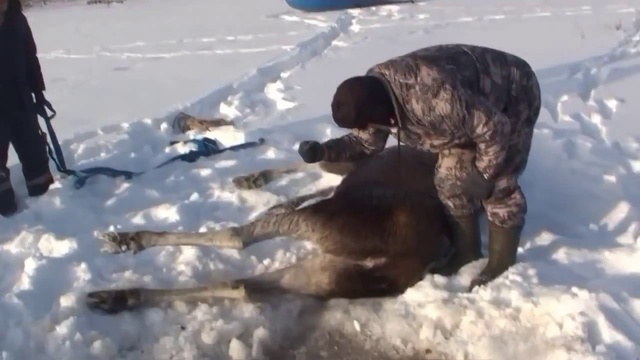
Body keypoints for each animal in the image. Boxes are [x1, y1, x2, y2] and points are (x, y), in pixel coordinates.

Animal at [86, 145, 456, 314]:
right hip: (326, 275)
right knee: (240, 285)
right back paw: (119, 296)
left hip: (325, 225)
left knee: (238, 237)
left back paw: (129, 240)